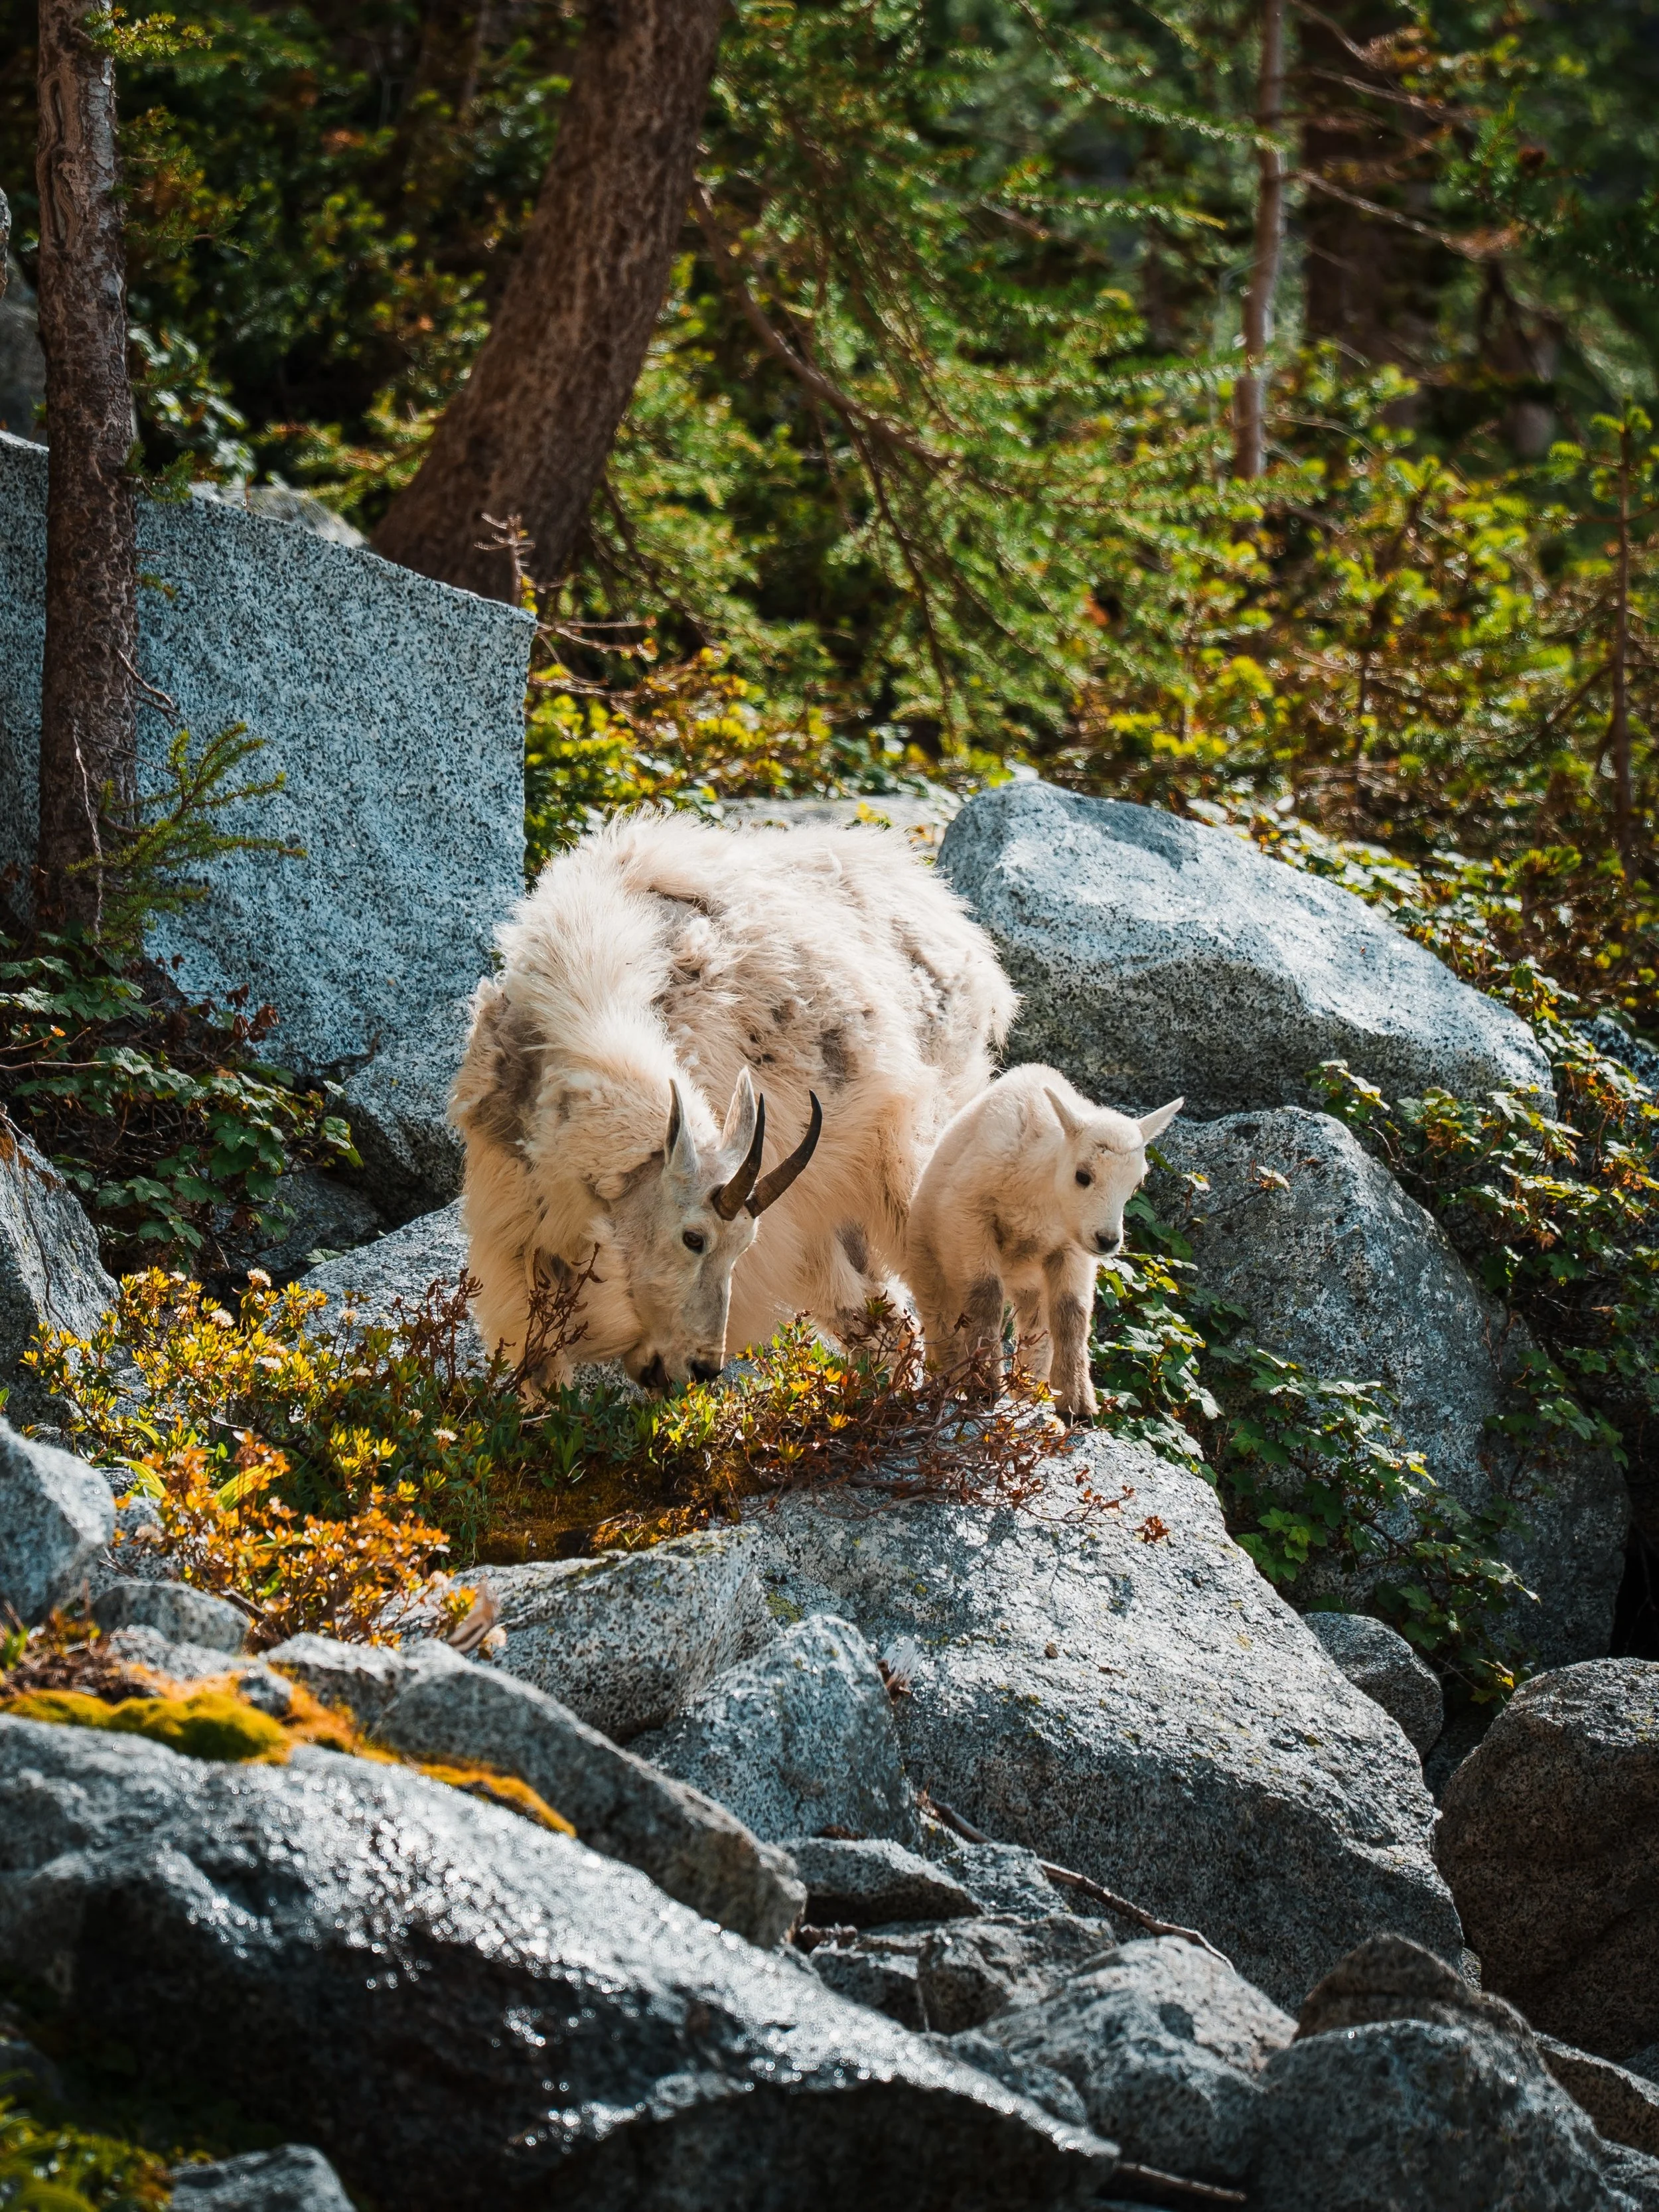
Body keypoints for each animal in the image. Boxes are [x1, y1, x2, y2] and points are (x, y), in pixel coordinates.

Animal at [450, 808, 1016, 1391]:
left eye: (740, 1247)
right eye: (693, 1238)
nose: (702, 1367)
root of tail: (961, 931)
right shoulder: (518, 1235)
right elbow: (539, 1371)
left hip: (909, 1145)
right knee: (879, 1314)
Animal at [906, 1064, 1183, 1422]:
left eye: (1136, 1184)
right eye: (1083, 1175)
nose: (1108, 1241)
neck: (1040, 1196)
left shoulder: (1072, 1247)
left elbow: (1071, 1314)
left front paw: (1077, 1404)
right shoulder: (968, 1218)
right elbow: (985, 1296)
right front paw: (983, 1389)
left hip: (1033, 1281)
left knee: (1038, 1327)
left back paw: (1029, 1390)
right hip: (927, 1257)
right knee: (941, 1317)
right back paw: (947, 1382)